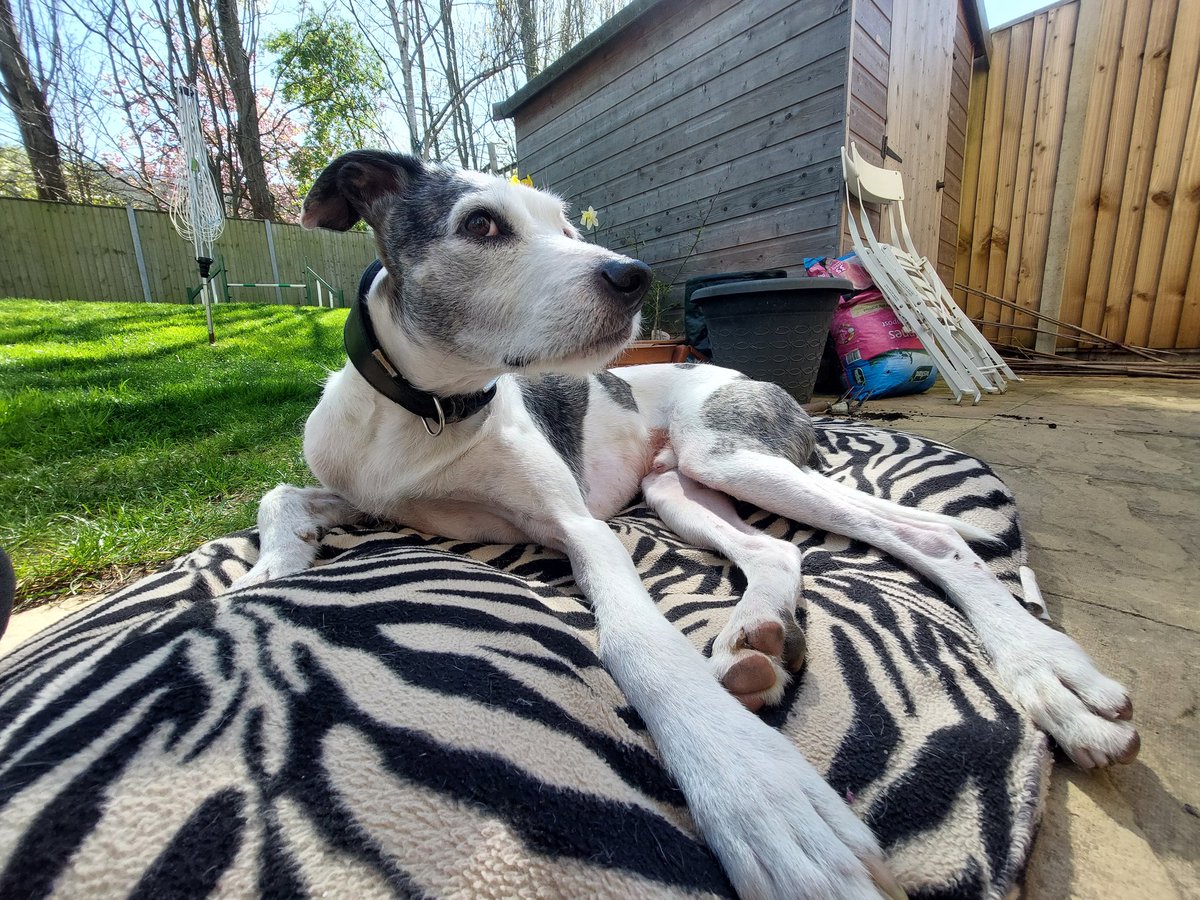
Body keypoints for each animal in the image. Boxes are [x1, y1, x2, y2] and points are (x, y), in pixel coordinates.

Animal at [231, 151, 1132, 897]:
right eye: (481, 225)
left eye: (566, 226)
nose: (633, 277)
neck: (429, 411)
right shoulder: (365, 491)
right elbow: (276, 495)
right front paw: (270, 568)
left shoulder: (580, 527)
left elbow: (637, 644)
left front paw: (756, 794)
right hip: (677, 490)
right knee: (775, 552)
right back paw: (755, 638)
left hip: (728, 456)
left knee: (931, 536)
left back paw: (1045, 672)